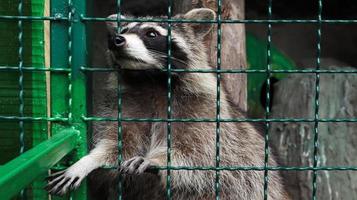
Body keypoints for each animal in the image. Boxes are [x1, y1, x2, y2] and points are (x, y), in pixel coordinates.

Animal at [46, 8, 290, 200]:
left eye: (151, 33)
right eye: (123, 31)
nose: (116, 40)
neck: (151, 80)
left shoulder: (204, 110)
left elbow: (200, 156)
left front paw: (156, 159)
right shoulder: (125, 105)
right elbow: (116, 144)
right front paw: (89, 160)